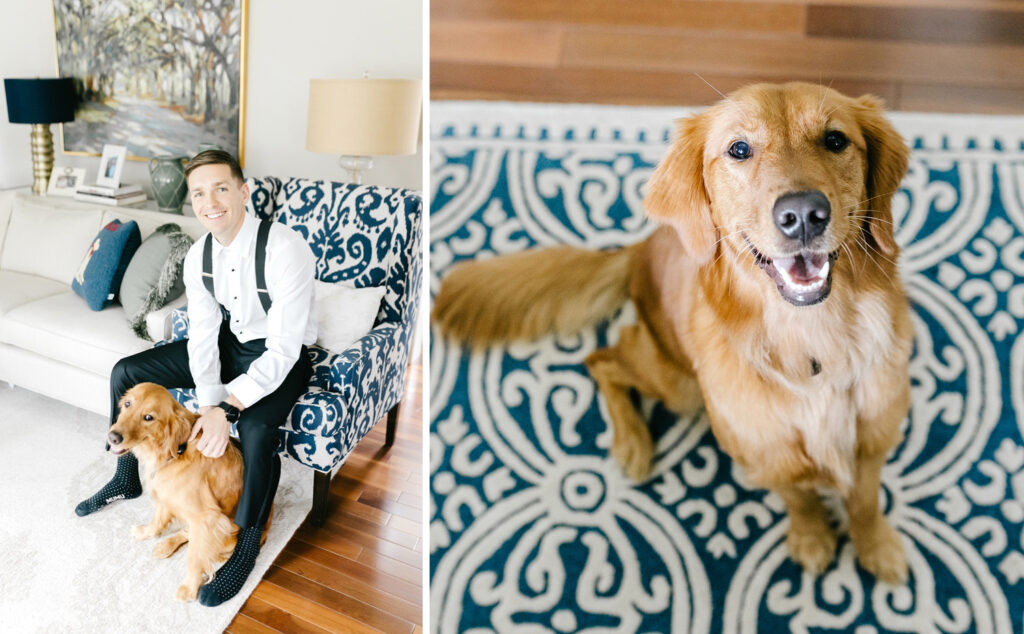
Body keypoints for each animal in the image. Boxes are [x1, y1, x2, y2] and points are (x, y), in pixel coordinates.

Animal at [106, 385, 270, 602]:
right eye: (127, 403)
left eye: (149, 417)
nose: (113, 437)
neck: (176, 450)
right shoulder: (166, 495)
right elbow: (157, 520)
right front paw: (147, 532)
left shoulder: (206, 517)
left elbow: (194, 556)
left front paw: (190, 587)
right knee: (187, 533)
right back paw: (166, 545)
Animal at [432, 82, 913, 585]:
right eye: (739, 149)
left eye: (836, 140)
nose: (803, 214)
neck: (813, 342)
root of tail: (637, 249)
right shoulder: (767, 458)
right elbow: (799, 499)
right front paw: (811, 536)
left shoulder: (874, 444)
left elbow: (865, 502)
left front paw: (875, 545)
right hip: (678, 383)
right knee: (603, 359)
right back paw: (632, 442)